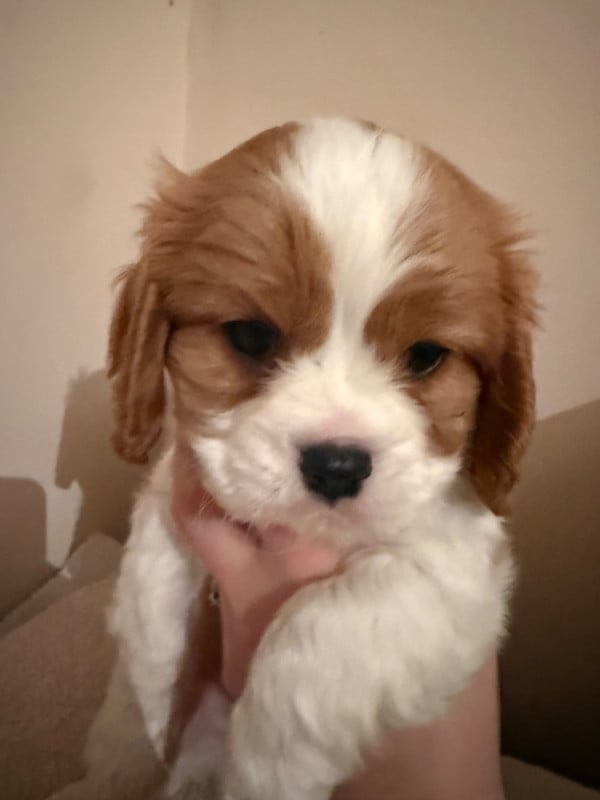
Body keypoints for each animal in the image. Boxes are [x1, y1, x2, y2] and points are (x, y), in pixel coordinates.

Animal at [107, 118, 537, 799]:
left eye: (425, 357)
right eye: (251, 335)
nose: (337, 465)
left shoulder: (460, 570)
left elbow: (324, 619)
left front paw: (264, 768)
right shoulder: (179, 482)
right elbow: (148, 589)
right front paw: (139, 720)